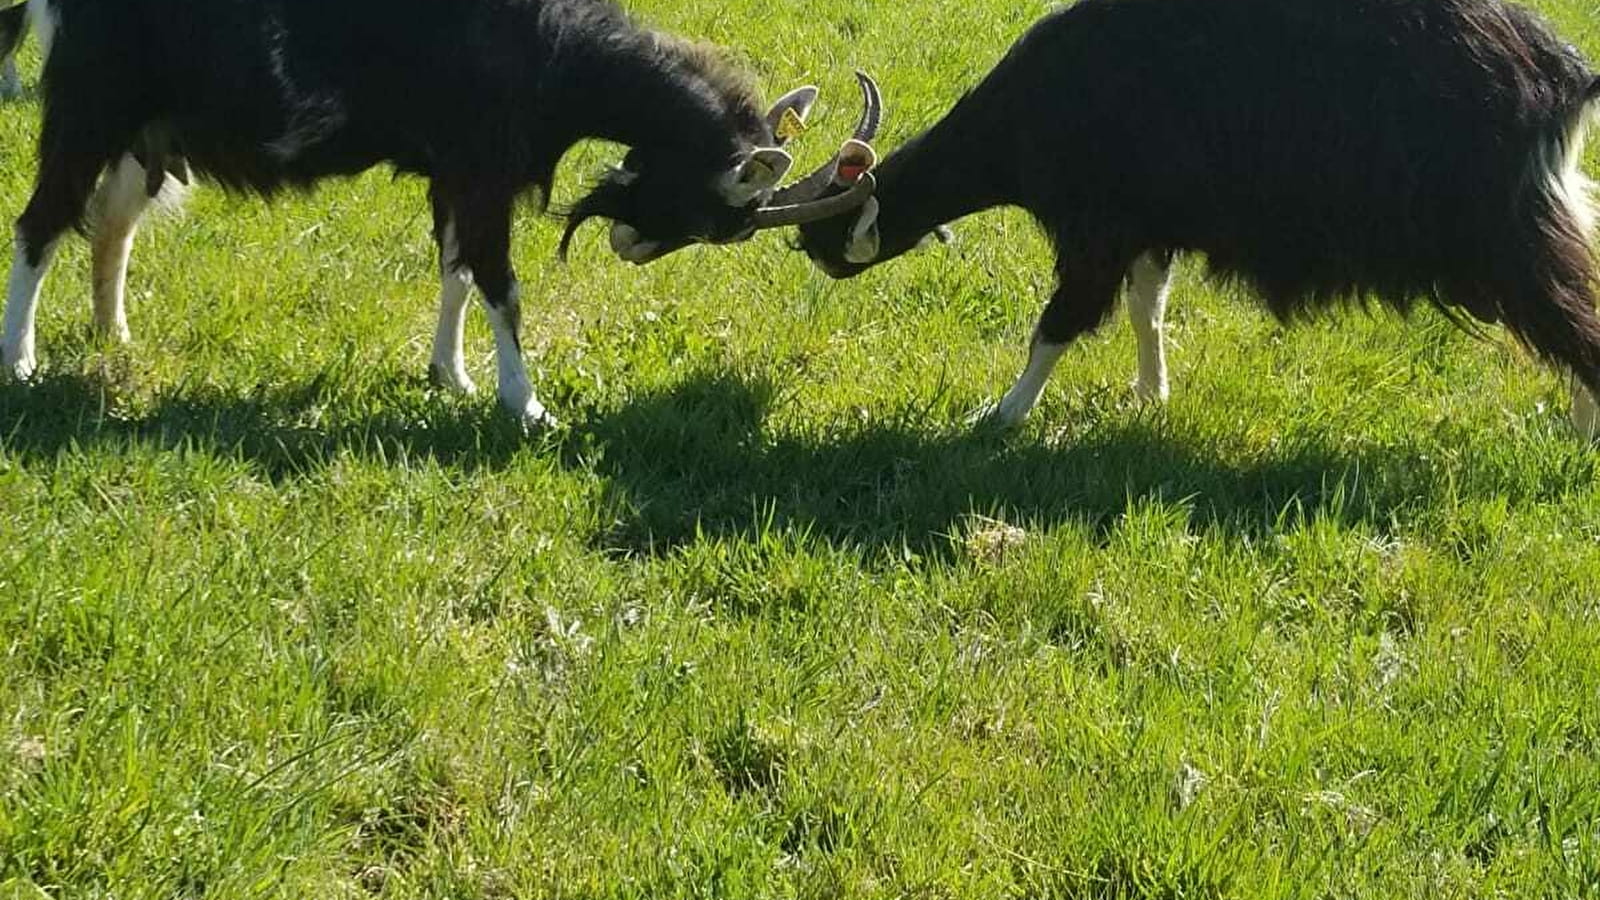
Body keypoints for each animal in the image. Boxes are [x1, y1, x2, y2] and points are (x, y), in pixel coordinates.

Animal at [0, 0, 876, 425]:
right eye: (714, 216)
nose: (629, 243)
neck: (550, 49)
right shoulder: (480, 172)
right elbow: (499, 284)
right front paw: (527, 406)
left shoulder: (458, 176)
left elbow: (456, 272)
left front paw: (450, 375)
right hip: (89, 110)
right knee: (40, 225)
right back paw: (21, 362)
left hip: (143, 139)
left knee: (110, 226)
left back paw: (113, 334)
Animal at [793, 0, 1600, 438]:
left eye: (828, 229)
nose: (803, 242)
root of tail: (1564, 73)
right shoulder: (1151, 229)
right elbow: (1147, 310)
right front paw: (1151, 394)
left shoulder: (1098, 231)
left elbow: (1057, 324)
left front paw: (1002, 415)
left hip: (1508, 237)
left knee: (1576, 312)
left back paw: (1579, 432)